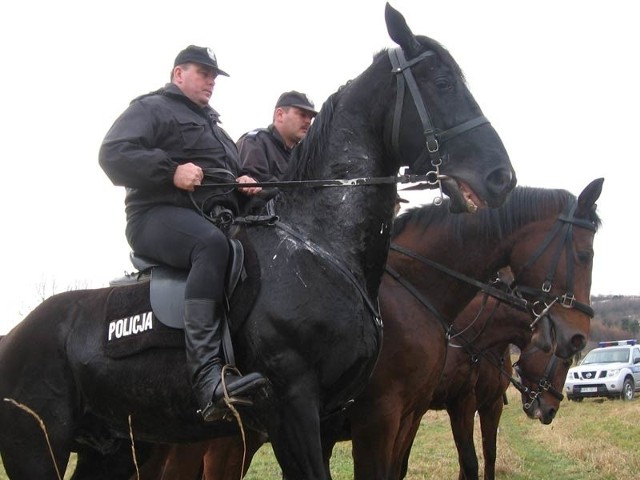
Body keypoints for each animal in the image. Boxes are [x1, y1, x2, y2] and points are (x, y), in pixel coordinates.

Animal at [0, 4, 516, 480]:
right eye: (443, 83)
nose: (500, 178)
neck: (319, 249)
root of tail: (14, 335)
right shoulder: (297, 408)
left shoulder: (331, 419)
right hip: (37, 449)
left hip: (115, 449)